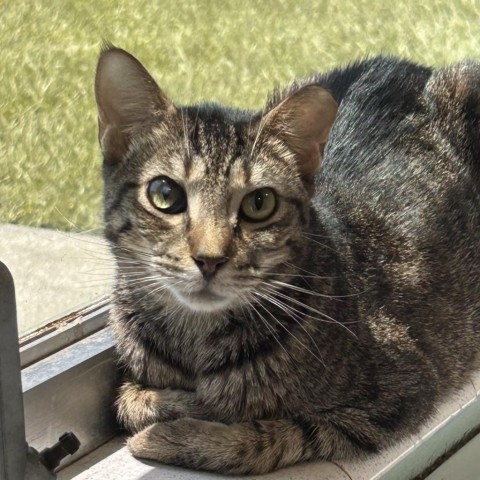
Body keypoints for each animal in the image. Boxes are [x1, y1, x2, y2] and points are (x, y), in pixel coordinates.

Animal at [94, 47, 480, 474]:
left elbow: (275, 435)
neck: (194, 341)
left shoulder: (398, 395)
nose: (209, 259)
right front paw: (181, 405)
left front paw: (180, 432)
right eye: (165, 194)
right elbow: (129, 400)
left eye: (259, 203)